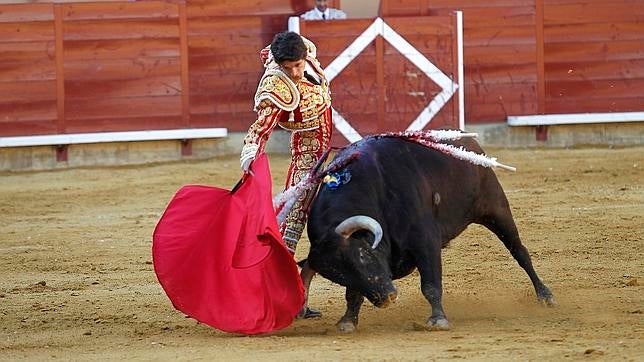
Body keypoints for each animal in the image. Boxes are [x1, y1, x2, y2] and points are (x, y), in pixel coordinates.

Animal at [304, 135, 556, 330]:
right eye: (339, 277)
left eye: (363, 255)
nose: (388, 298)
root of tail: (470, 141)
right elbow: (352, 294)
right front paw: (347, 321)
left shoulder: (425, 242)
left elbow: (431, 285)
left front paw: (438, 320)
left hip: (496, 208)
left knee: (520, 252)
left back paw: (545, 295)